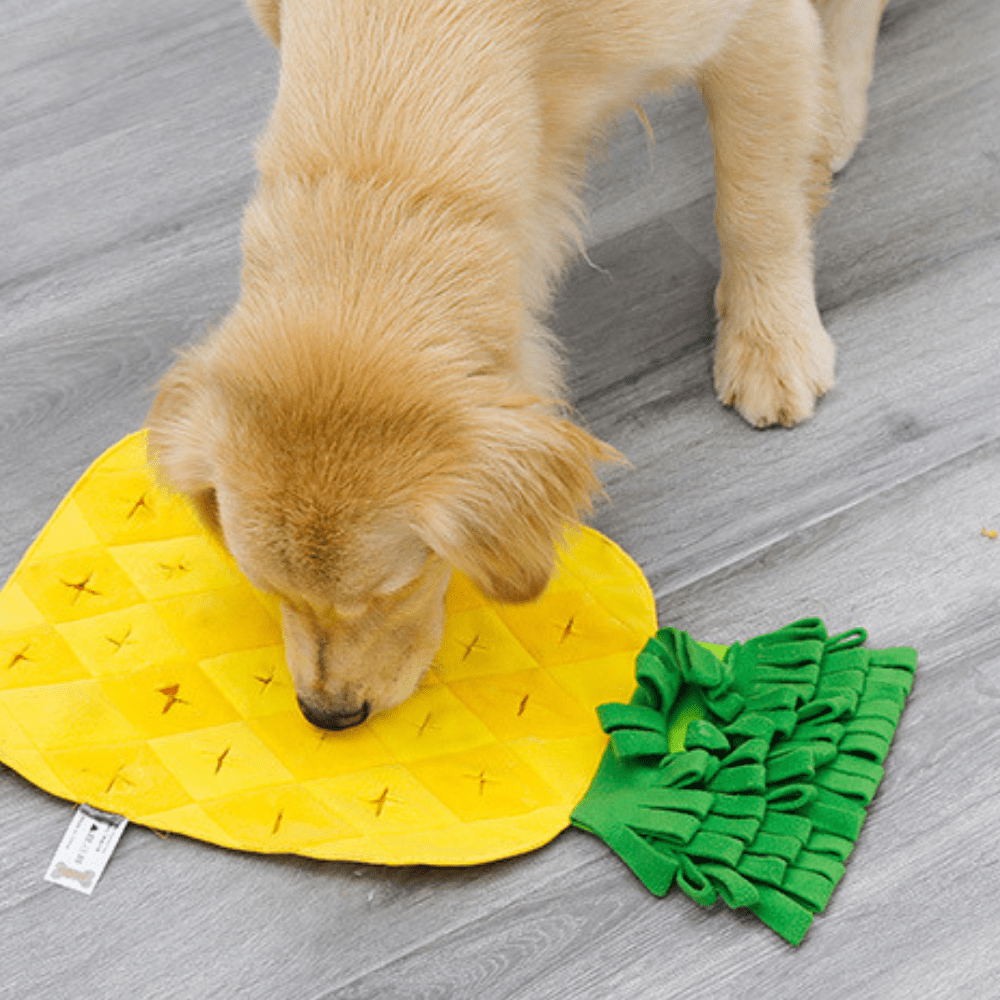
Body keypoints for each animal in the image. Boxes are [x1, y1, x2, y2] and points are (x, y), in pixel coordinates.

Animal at [146, 0, 892, 728]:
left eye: (400, 582)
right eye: (266, 587)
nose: (329, 716)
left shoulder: (755, 28)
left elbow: (756, 204)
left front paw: (770, 335)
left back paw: (834, 115)